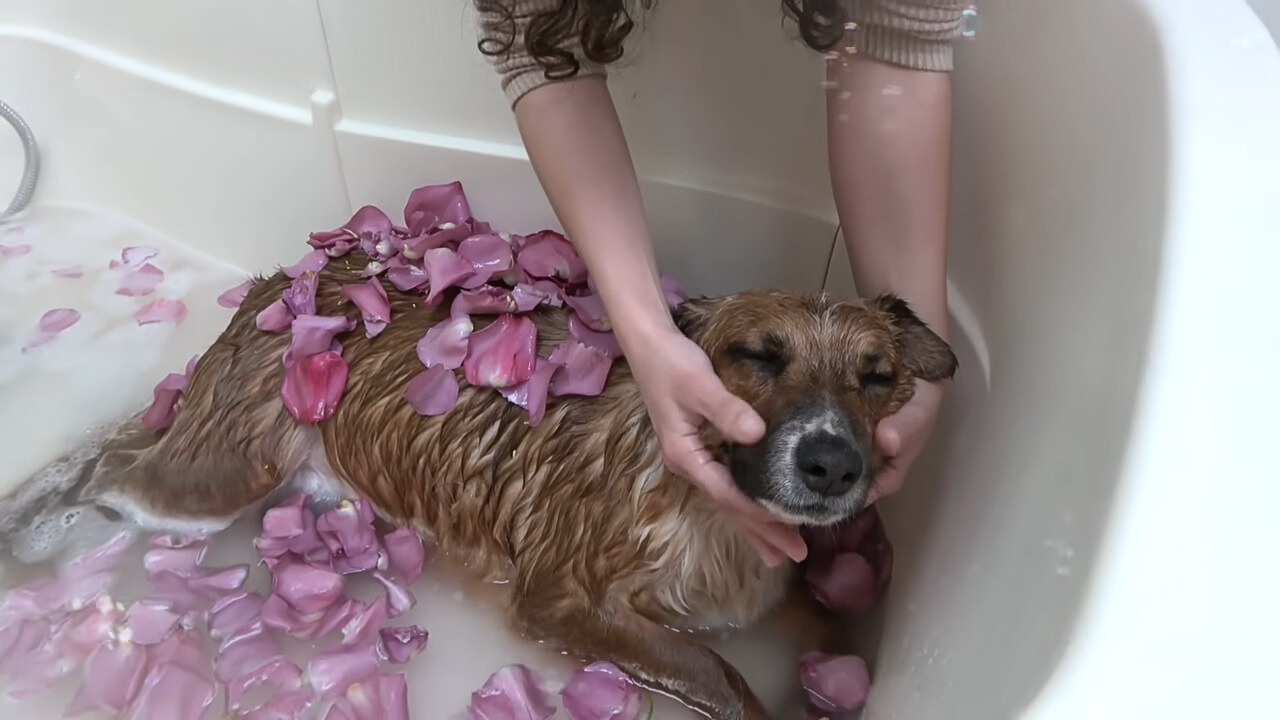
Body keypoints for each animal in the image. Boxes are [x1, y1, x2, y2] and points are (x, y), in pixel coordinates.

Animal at [0, 252, 957, 717]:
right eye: (757, 356)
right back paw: (42, 537)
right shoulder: (561, 603)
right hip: (215, 481)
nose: (832, 464)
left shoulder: (785, 596)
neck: (705, 508)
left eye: (877, 376)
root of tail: (290, 287)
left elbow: (814, 632)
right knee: (108, 468)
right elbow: (719, 677)